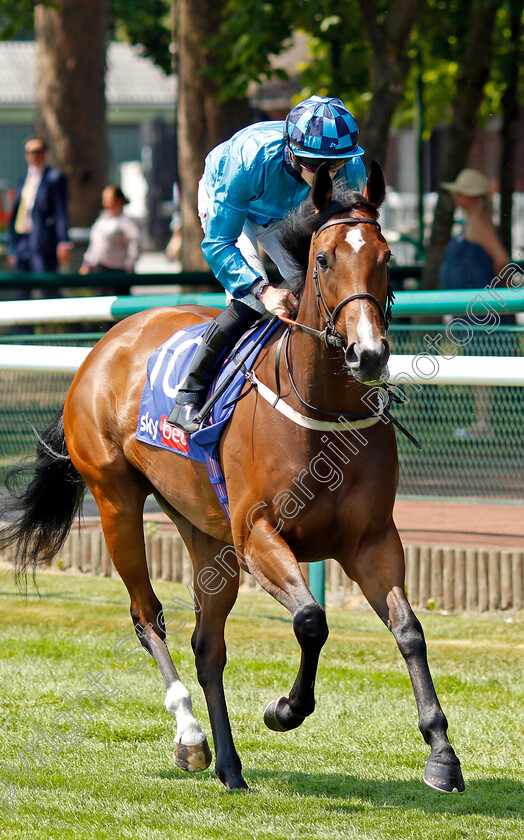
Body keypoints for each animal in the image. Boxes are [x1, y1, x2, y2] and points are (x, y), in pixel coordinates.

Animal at [2, 162, 464, 796]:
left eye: (387, 256)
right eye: (324, 259)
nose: (367, 353)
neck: (322, 411)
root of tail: (106, 344)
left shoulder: (371, 541)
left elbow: (409, 629)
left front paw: (441, 753)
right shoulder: (258, 536)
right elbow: (311, 620)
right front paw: (284, 709)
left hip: (204, 533)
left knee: (208, 645)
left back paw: (229, 764)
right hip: (117, 498)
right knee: (148, 616)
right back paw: (191, 738)